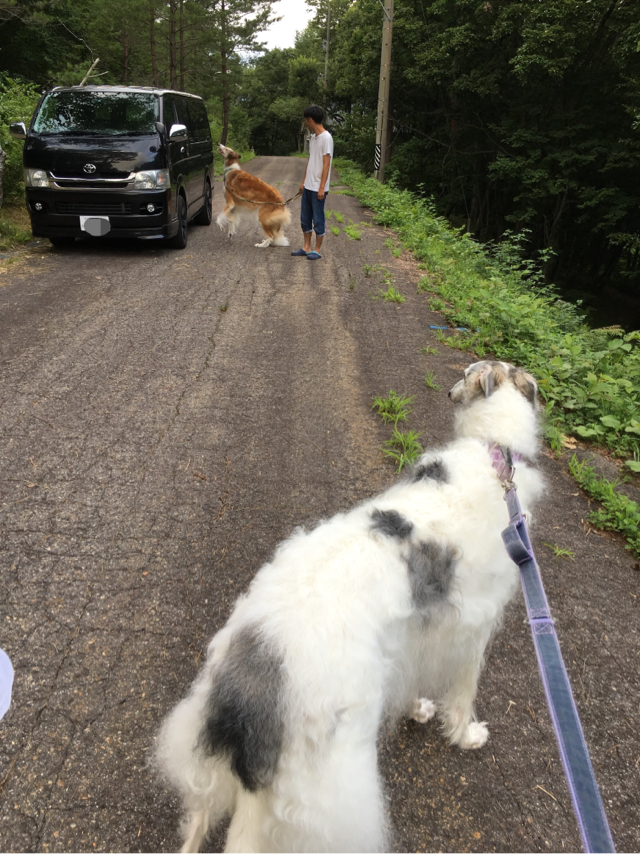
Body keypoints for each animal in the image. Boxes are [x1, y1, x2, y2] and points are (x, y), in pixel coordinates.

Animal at [155, 360, 545, 854]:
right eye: (464, 373)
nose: (450, 392)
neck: (495, 452)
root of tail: (254, 682)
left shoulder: (417, 633)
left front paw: (418, 709)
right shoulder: (471, 629)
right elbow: (462, 694)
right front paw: (466, 734)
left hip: (206, 761)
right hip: (325, 795)